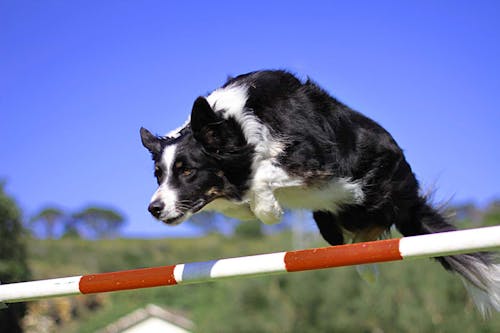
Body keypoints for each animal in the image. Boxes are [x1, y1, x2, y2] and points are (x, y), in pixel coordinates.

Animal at [141, 70, 500, 314]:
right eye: (159, 175)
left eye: (188, 171)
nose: (154, 209)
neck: (235, 127)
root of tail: (410, 197)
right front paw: (252, 204)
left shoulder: (313, 159)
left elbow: (266, 175)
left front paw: (267, 207)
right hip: (327, 223)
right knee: (351, 237)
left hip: (376, 191)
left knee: (372, 226)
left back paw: (367, 266)